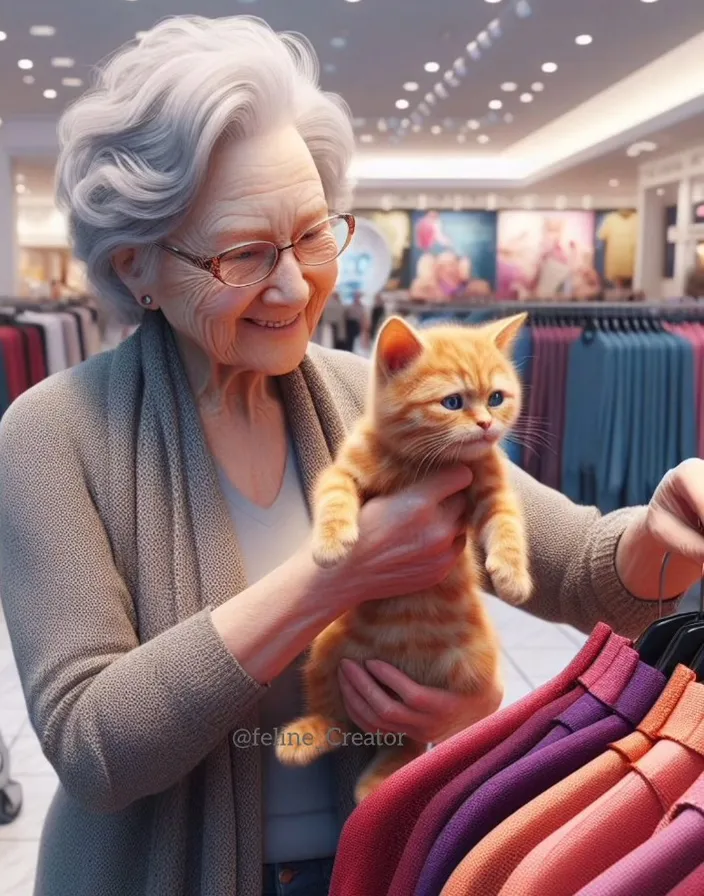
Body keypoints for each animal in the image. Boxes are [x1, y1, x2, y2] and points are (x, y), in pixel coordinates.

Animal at [276, 312, 532, 800]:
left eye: (496, 398)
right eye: (453, 402)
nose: (486, 425)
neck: (421, 462)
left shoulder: (494, 490)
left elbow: (508, 525)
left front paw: (512, 575)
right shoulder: (344, 471)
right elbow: (334, 496)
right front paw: (331, 544)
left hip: (466, 667)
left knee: (413, 737)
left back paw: (382, 777)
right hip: (327, 651)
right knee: (338, 721)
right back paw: (309, 734)